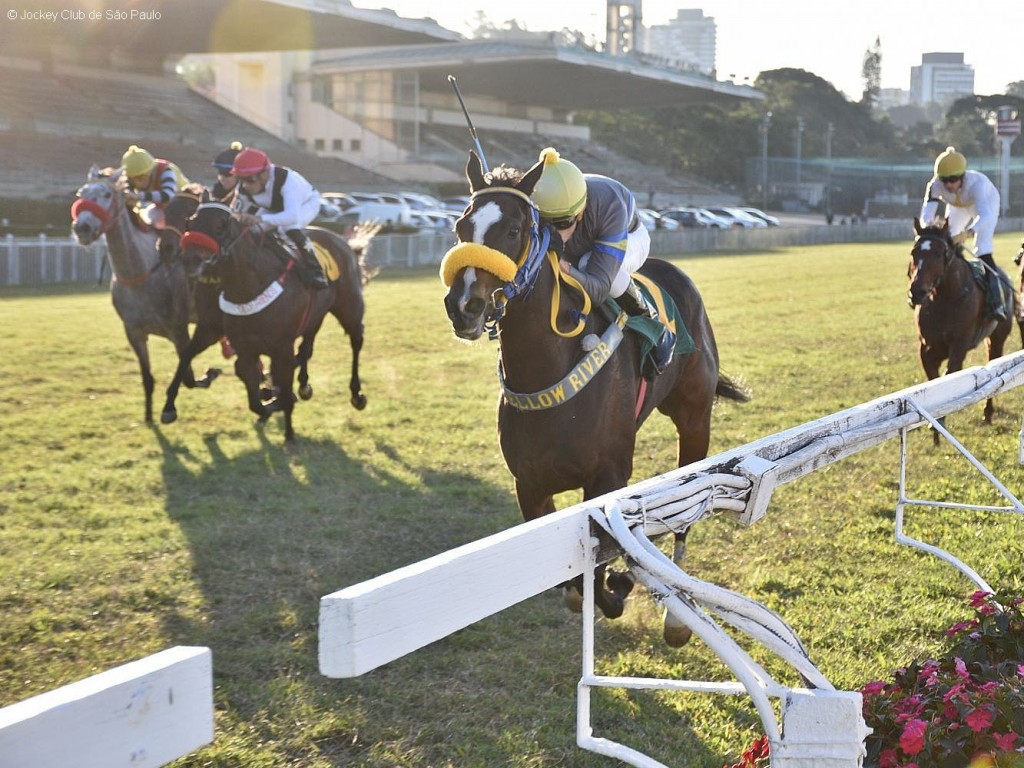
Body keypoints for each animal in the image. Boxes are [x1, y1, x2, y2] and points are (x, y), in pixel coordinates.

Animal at [69, 165, 220, 423]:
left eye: (107, 195)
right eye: (81, 193)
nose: (82, 228)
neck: (140, 275)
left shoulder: (178, 330)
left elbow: (188, 377)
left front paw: (207, 376)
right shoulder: (134, 333)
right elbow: (148, 378)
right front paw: (148, 415)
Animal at [179, 201, 372, 442]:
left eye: (220, 225)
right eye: (191, 221)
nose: (191, 260)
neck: (248, 287)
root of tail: (345, 244)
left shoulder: (281, 347)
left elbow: (281, 385)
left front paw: (288, 430)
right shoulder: (246, 349)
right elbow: (255, 399)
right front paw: (271, 402)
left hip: (350, 310)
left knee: (356, 340)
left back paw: (356, 394)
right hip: (315, 315)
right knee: (307, 347)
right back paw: (303, 386)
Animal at [436, 153, 749, 647]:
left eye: (514, 230)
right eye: (461, 226)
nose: (463, 305)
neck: (549, 369)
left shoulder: (607, 476)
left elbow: (597, 571)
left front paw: (620, 585)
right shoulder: (530, 486)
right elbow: (573, 585)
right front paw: (617, 583)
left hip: (695, 418)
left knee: (688, 508)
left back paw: (676, 619)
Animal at [909, 219, 1019, 442]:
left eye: (939, 254)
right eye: (914, 253)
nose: (916, 292)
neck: (945, 298)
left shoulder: (959, 346)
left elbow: (950, 374)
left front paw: (940, 423)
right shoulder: (927, 347)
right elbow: (934, 379)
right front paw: (935, 426)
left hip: (997, 338)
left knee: (994, 365)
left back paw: (988, 412)